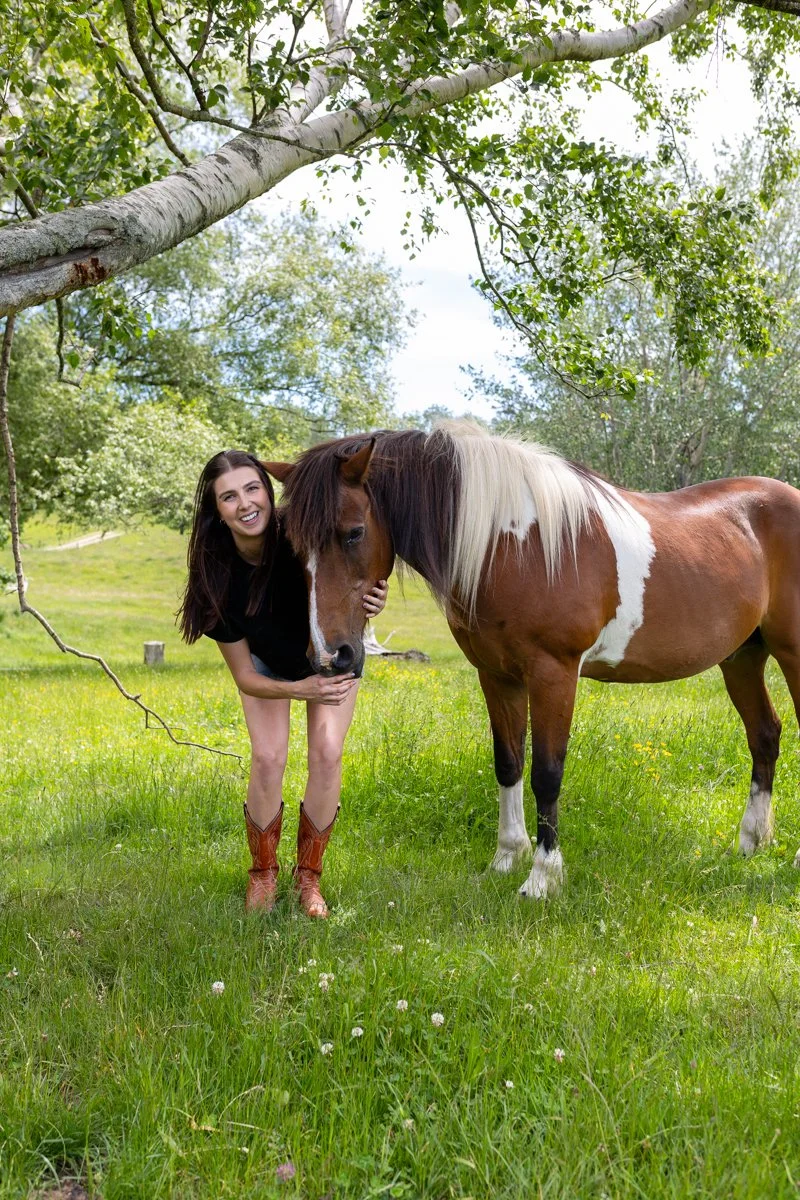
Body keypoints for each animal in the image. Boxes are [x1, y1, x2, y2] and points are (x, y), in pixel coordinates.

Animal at [265, 421, 800, 898]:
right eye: (291, 544)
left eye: (353, 532)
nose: (330, 655)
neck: (511, 545)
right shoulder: (497, 675)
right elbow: (508, 763)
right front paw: (506, 858)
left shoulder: (554, 674)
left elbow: (546, 771)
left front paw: (542, 878)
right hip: (741, 656)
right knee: (764, 734)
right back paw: (751, 842)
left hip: (790, 654)